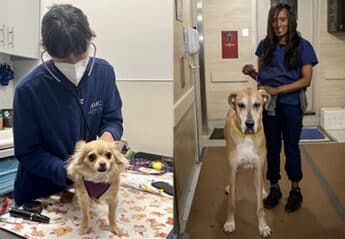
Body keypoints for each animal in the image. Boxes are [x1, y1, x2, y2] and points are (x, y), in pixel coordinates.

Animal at [223, 87, 272, 236]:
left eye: (257, 104)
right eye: (241, 105)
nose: (249, 124)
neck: (247, 137)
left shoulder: (258, 166)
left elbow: (260, 207)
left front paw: (263, 226)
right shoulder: (233, 169)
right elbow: (231, 203)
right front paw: (229, 223)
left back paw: (263, 191)